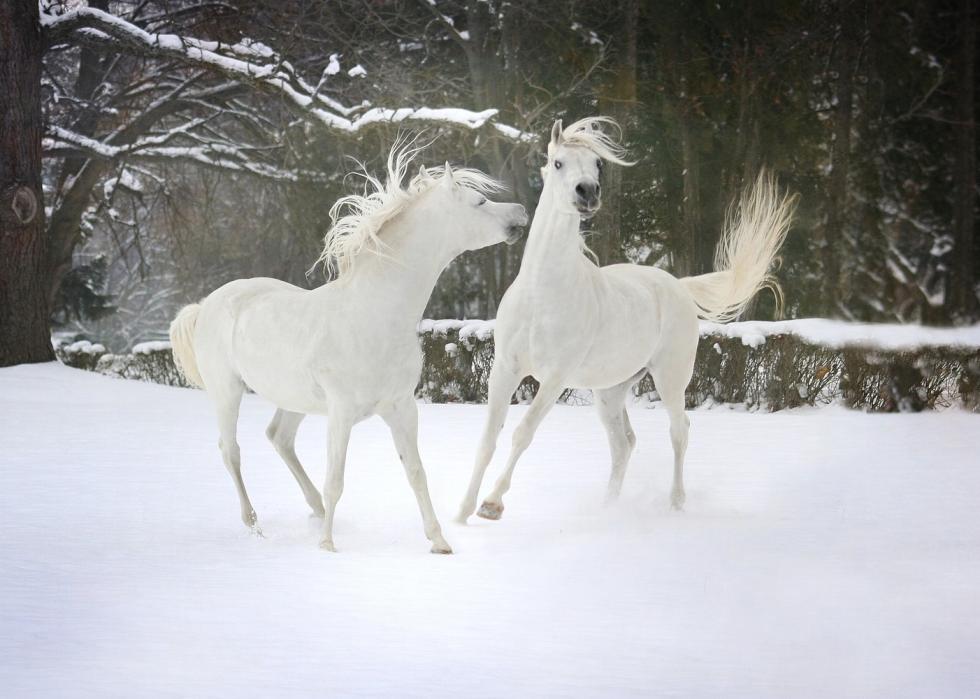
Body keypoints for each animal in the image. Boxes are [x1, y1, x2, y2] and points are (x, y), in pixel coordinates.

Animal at [168, 139, 528, 552]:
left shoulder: (401, 408)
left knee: (279, 438)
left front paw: (439, 542)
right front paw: (327, 546)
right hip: (227, 392)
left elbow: (416, 472)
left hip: (294, 398)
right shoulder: (341, 414)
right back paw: (255, 524)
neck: (372, 314)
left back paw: (315, 510)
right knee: (232, 452)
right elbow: (336, 480)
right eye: (479, 202)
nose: (521, 212)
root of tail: (205, 306)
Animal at [460, 119, 796, 524]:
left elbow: (523, 432)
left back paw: (675, 504)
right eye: (557, 162)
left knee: (679, 431)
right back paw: (607, 508)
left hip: (670, 378)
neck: (542, 293)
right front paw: (460, 514)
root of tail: (678, 286)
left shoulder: (555, 378)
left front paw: (492, 505)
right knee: (623, 444)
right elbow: (488, 438)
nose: (587, 192)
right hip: (610, 391)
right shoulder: (504, 369)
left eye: (598, 164)